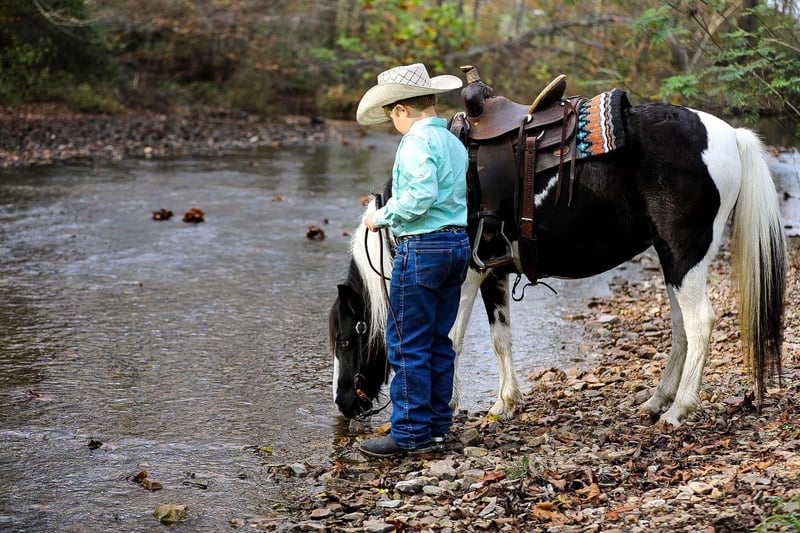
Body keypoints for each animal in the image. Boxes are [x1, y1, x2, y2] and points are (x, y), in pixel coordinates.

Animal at [329, 81, 786, 428]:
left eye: (349, 338)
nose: (343, 404)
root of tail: (730, 136)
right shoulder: (493, 271)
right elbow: (499, 338)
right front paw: (504, 404)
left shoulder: (465, 274)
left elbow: (450, 340)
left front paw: (453, 407)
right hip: (673, 259)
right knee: (681, 326)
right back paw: (657, 401)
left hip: (684, 254)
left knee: (700, 323)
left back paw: (679, 410)